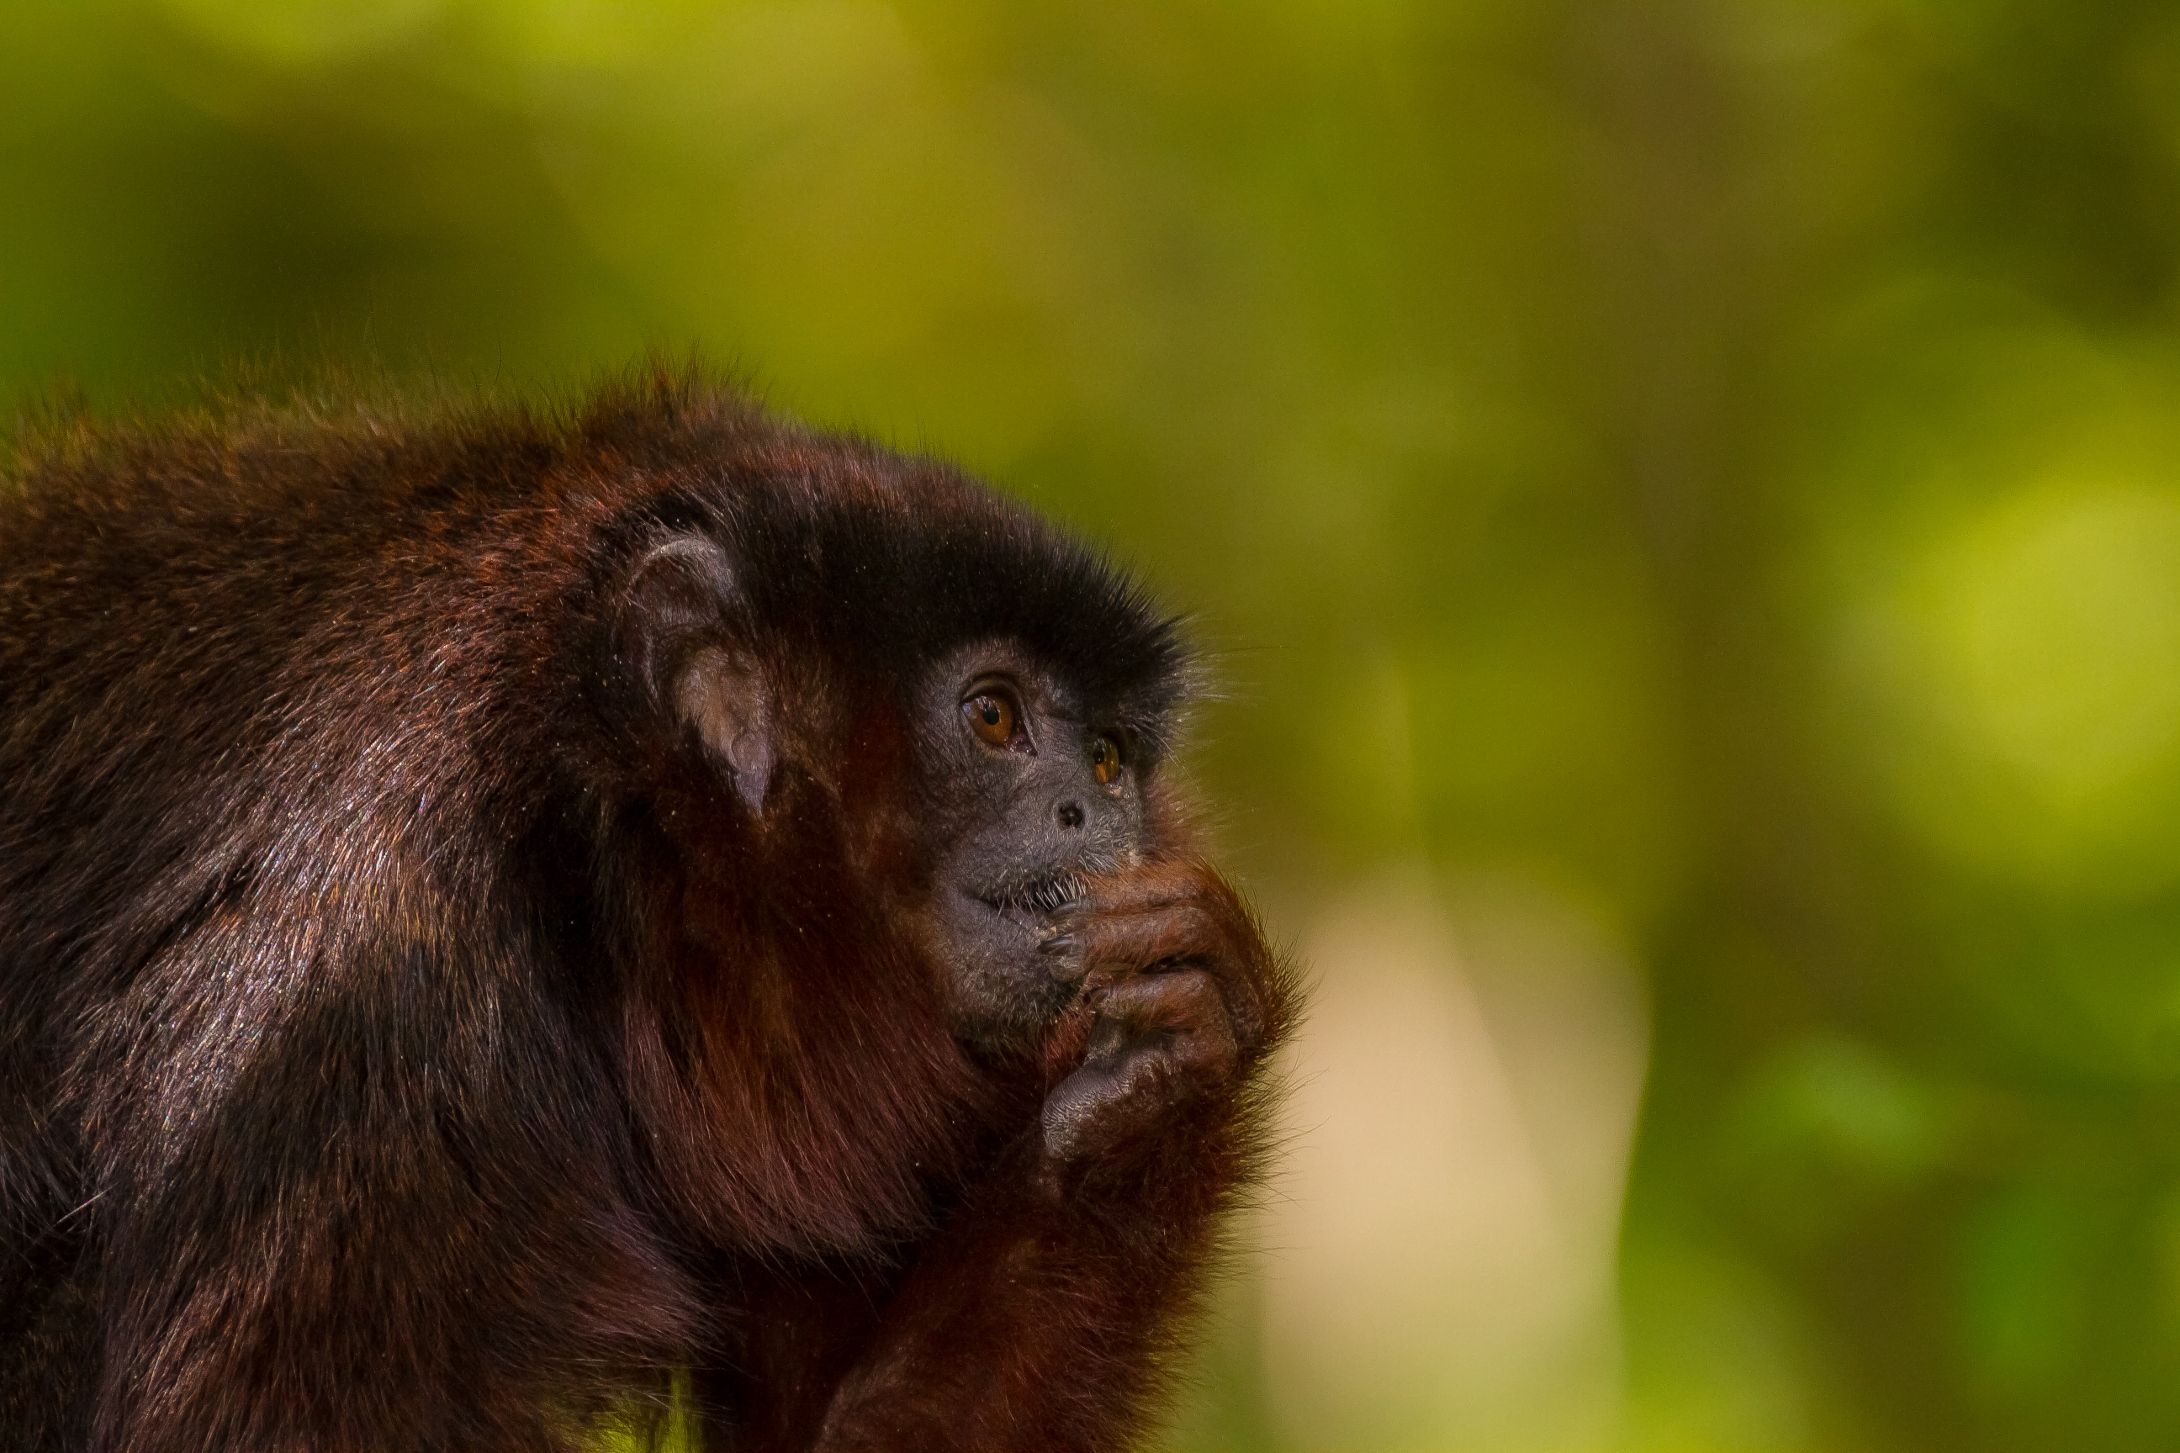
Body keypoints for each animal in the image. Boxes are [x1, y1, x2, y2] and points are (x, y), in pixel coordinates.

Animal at [0, 379, 1290, 1453]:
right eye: (991, 717)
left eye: (1110, 755)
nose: (1091, 810)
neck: (581, 843)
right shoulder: (359, 986)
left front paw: (1157, 1083)